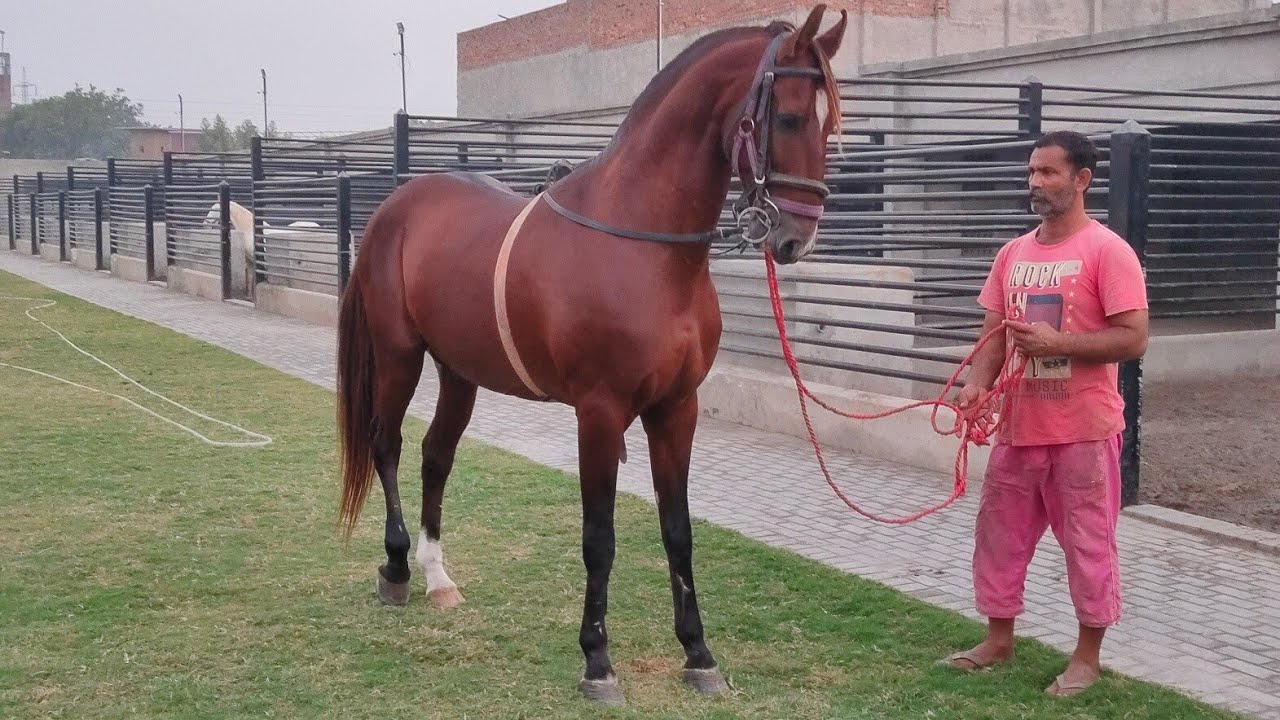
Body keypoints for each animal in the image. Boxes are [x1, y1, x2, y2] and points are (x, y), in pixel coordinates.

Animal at [335, 4, 846, 705]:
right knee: (387, 445)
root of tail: (393, 207)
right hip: (398, 356)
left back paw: (437, 574)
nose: (798, 236)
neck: (641, 246)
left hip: (459, 372)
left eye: (829, 122)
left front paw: (698, 654)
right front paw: (597, 661)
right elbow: (599, 539)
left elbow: (678, 531)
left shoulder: (675, 409)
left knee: (436, 456)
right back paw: (395, 568)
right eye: (791, 116)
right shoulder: (599, 414)